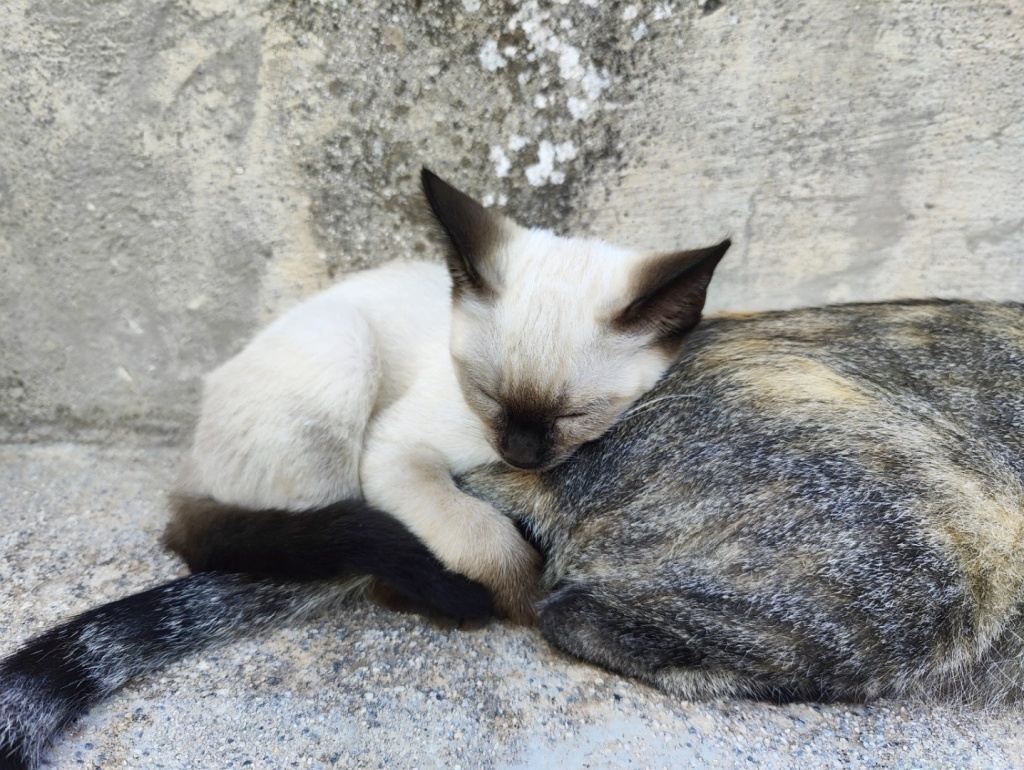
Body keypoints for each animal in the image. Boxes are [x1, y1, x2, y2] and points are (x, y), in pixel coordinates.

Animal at [169, 169, 729, 626]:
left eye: (575, 414)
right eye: (487, 397)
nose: (520, 455)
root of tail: (189, 468)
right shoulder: (396, 451)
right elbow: (483, 536)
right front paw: (528, 600)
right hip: (345, 350)